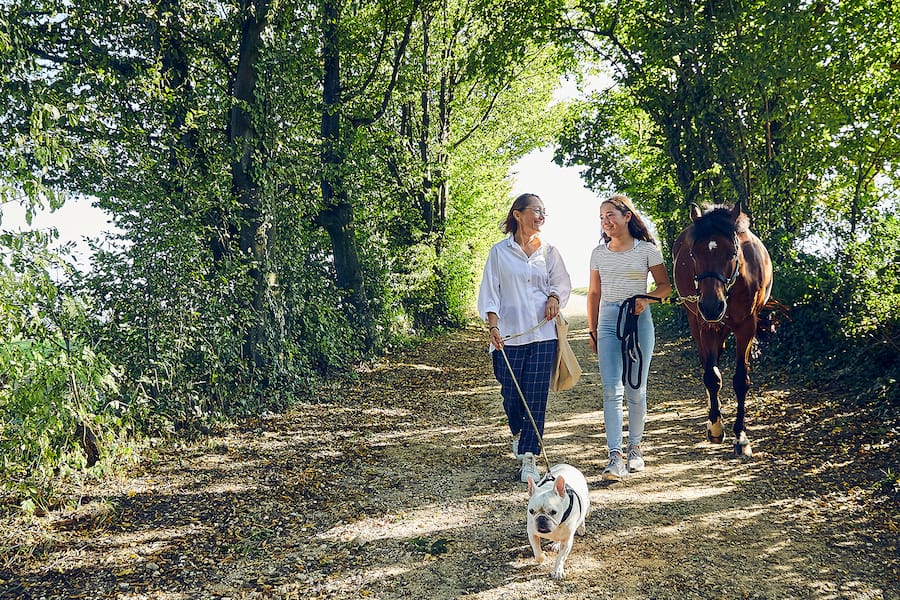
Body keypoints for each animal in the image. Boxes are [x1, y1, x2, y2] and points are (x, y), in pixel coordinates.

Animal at [672, 202, 773, 457]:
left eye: (732, 253)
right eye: (693, 254)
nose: (710, 305)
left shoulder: (747, 326)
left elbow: (740, 380)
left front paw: (741, 437)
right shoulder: (706, 325)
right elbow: (711, 376)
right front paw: (716, 426)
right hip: (696, 321)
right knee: (708, 365)